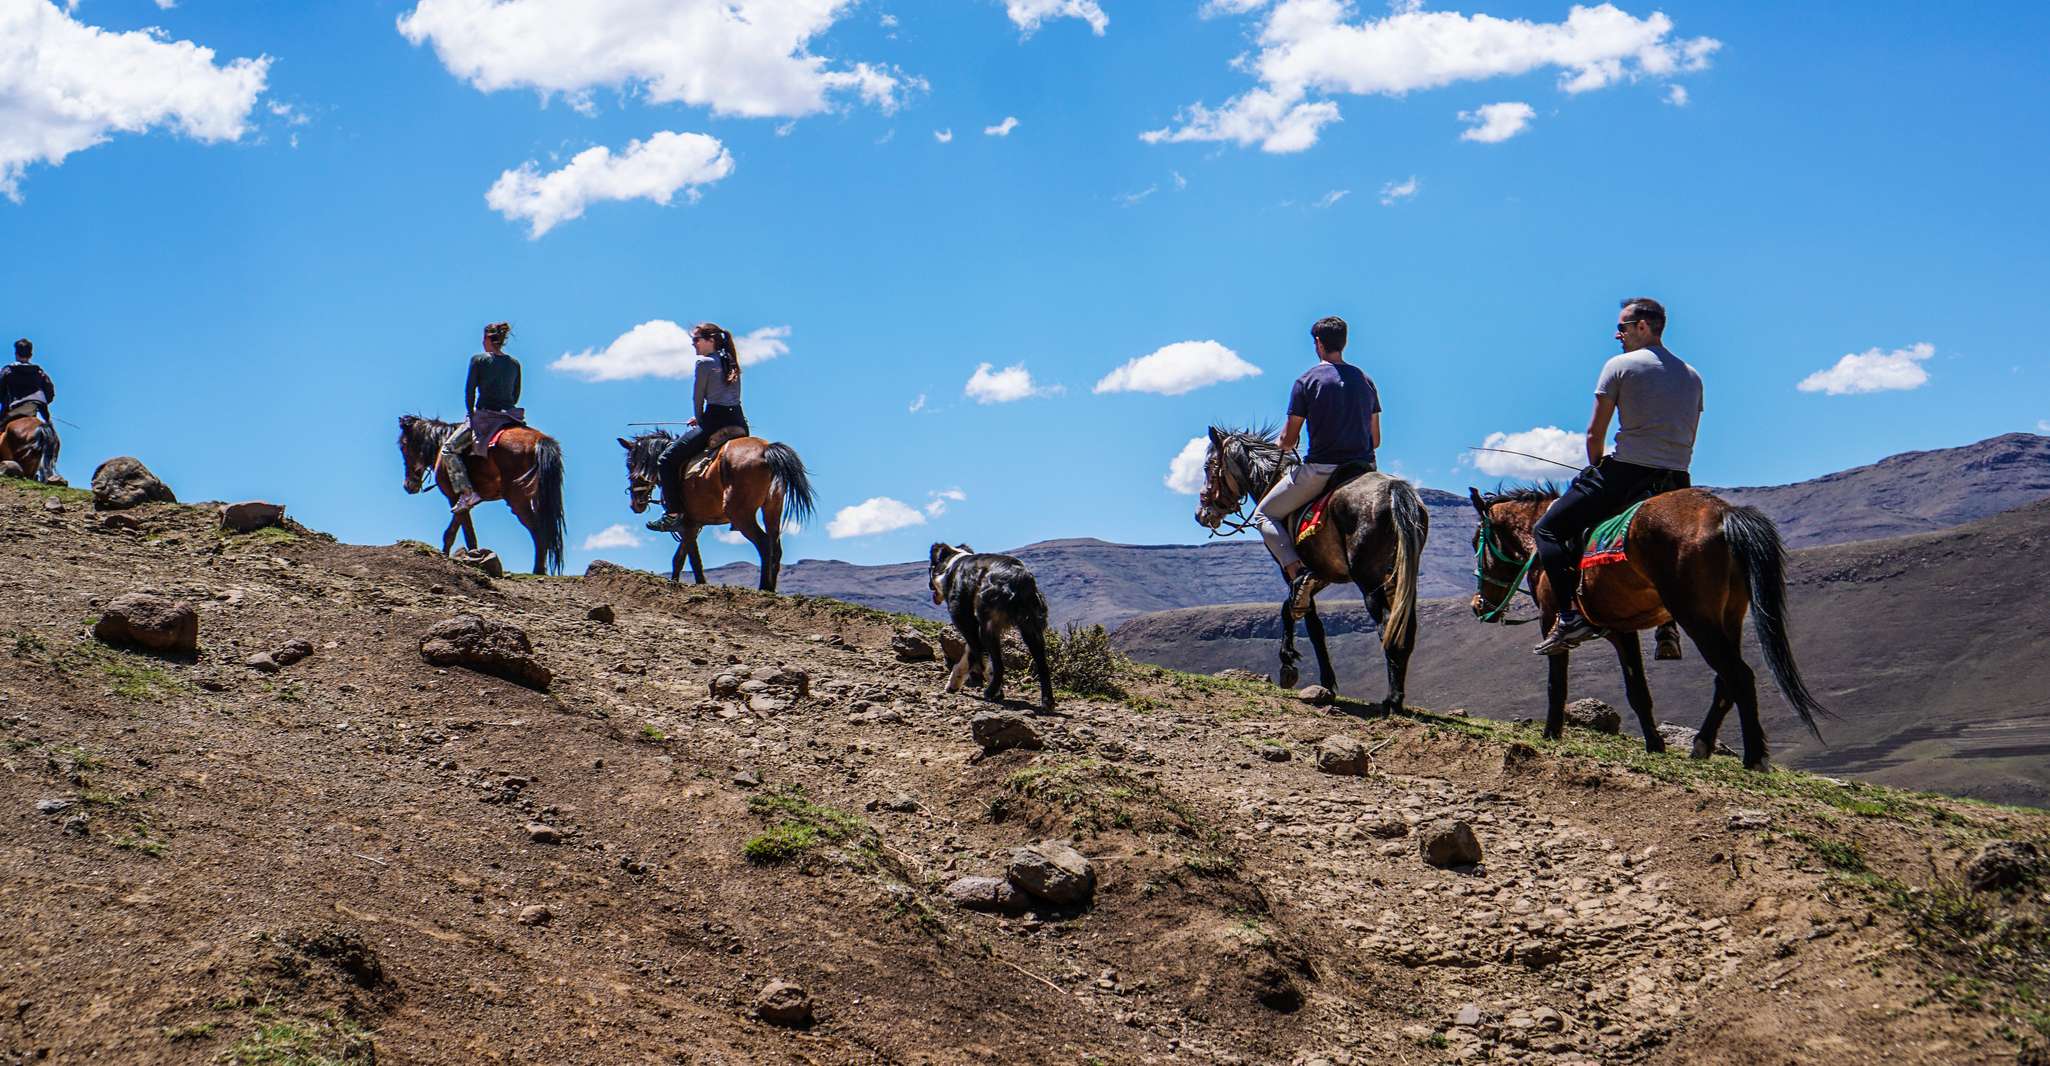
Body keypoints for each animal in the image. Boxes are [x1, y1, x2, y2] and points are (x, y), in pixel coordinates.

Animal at [397, 414, 569, 574]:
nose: (408, 485)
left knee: (538, 530)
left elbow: (462, 533)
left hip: (517, 499)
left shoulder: (454, 497)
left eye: (403, 446)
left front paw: (470, 556)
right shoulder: (462, 502)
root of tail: (540, 440)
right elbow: (456, 530)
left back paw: (537, 570)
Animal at [619, 428, 811, 590]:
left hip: (740, 515)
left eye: (630, 463)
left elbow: (684, 558)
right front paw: (694, 583)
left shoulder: (685, 524)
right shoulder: (693, 524)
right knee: (775, 547)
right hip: (772, 509)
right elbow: (688, 557)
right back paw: (771, 589)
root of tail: (766, 449)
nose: (635, 503)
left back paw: (763, 588)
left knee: (764, 544)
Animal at [930, 545, 1057, 713]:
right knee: (1043, 666)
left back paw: (990, 691)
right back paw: (1047, 701)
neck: (952, 563)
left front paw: (995, 689)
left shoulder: (965, 622)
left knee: (999, 664)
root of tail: (1019, 577)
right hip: (1031, 628)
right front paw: (954, 683)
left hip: (988, 627)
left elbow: (979, 657)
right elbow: (970, 655)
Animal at [1197, 426, 1426, 717]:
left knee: (1387, 629)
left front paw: (1295, 667)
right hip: (1401, 580)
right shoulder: (1322, 574)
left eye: (1208, 467)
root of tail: (1395, 490)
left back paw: (1392, 700)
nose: (1201, 514)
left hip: (1370, 583)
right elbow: (1301, 613)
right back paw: (1398, 698)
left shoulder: (1293, 571)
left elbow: (1303, 618)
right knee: (1406, 628)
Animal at [1467, 487, 1836, 770]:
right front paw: (1655, 743)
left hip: (1696, 616)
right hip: (1730, 616)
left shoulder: (1550, 619)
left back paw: (1755, 758)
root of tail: (1724, 514)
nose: (1477, 605)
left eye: (1475, 542)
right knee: (1726, 679)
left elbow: (1556, 682)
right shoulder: (1621, 631)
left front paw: (1550, 733)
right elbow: (1638, 691)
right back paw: (1701, 745)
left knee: (1739, 676)